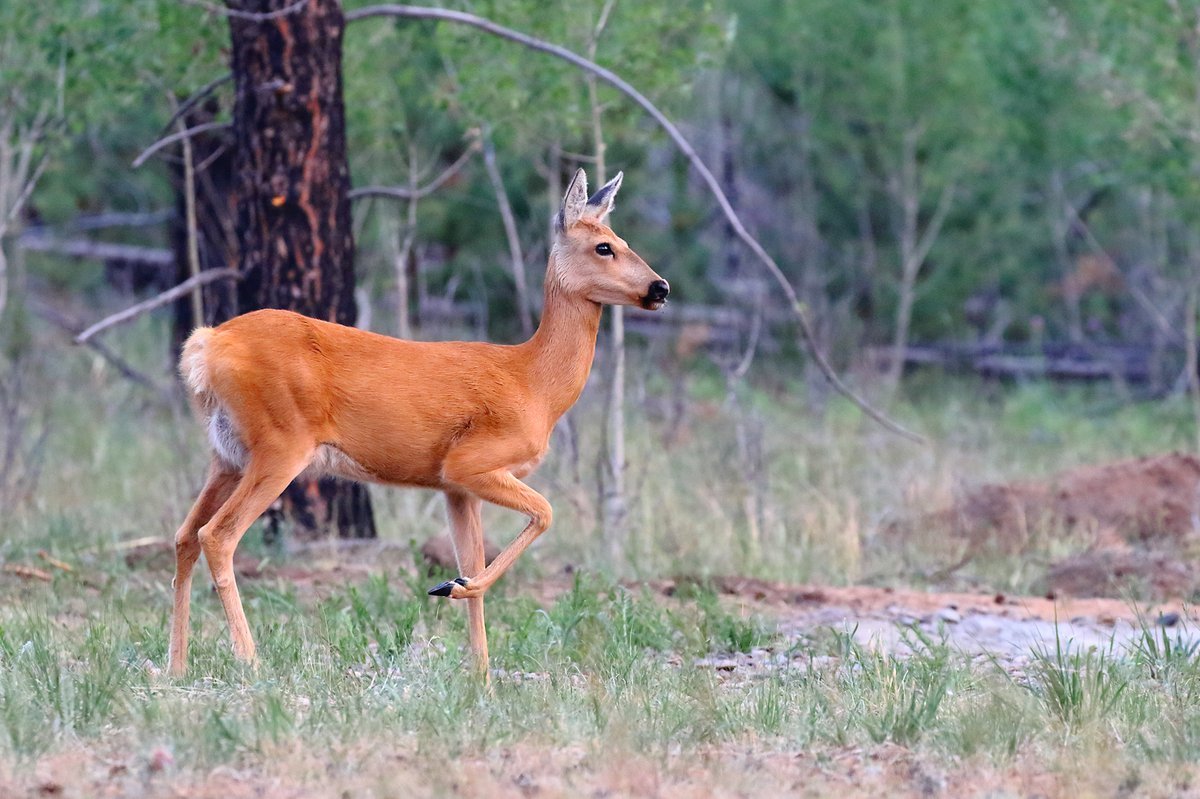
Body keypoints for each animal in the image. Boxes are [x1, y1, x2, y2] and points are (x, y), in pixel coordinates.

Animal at [165, 169, 672, 676]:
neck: (533, 383)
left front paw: (480, 676)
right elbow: (545, 513)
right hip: (279, 445)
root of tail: (205, 345)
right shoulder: (470, 464)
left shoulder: (455, 489)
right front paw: (451, 589)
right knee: (218, 536)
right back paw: (250, 662)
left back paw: (178, 666)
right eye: (604, 246)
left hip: (228, 455)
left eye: (623, 240)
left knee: (185, 535)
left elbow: (472, 560)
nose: (660, 288)